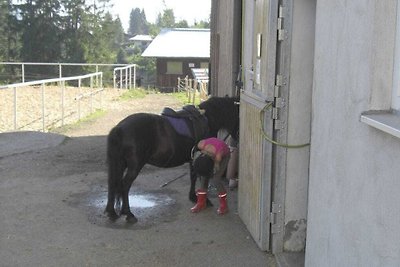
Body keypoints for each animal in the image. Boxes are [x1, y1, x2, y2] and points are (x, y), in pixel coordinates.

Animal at [104, 97, 239, 223]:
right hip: (134, 166)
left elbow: (193, 176)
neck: (207, 120)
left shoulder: (193, 159)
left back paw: (112, 212)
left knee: (112, 183)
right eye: (238, 116)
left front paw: (193, 197)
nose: (237, 140)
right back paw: (128, 213)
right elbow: (201, 178)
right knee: (125, 185)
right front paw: (203, 200)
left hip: (119, 164)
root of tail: (119, 129)